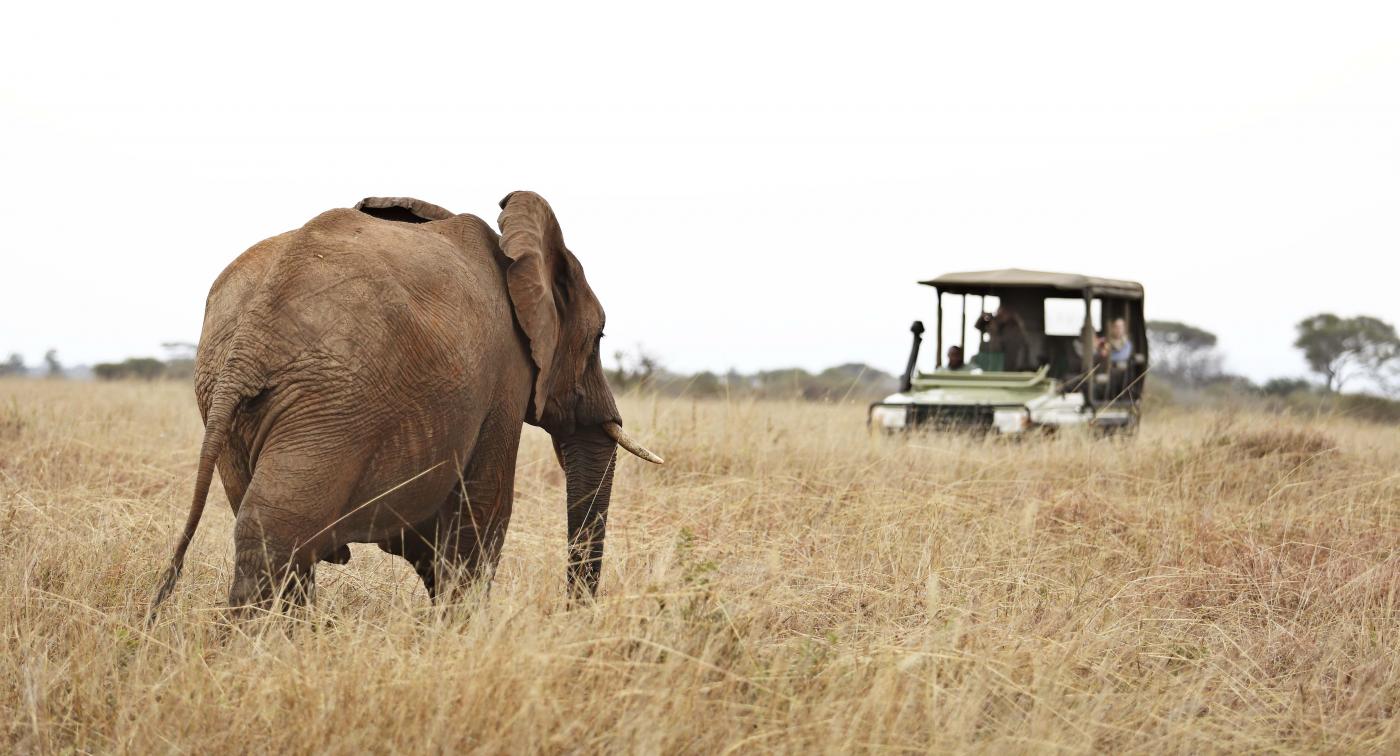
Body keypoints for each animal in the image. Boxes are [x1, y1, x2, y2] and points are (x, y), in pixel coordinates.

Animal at [147, 190, 660, 618]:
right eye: (600, 337)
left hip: (240, 400)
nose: (574, 615)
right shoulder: (506, 377)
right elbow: (483, 510)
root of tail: (248, 341)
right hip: (333, 404)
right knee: (276, 532)